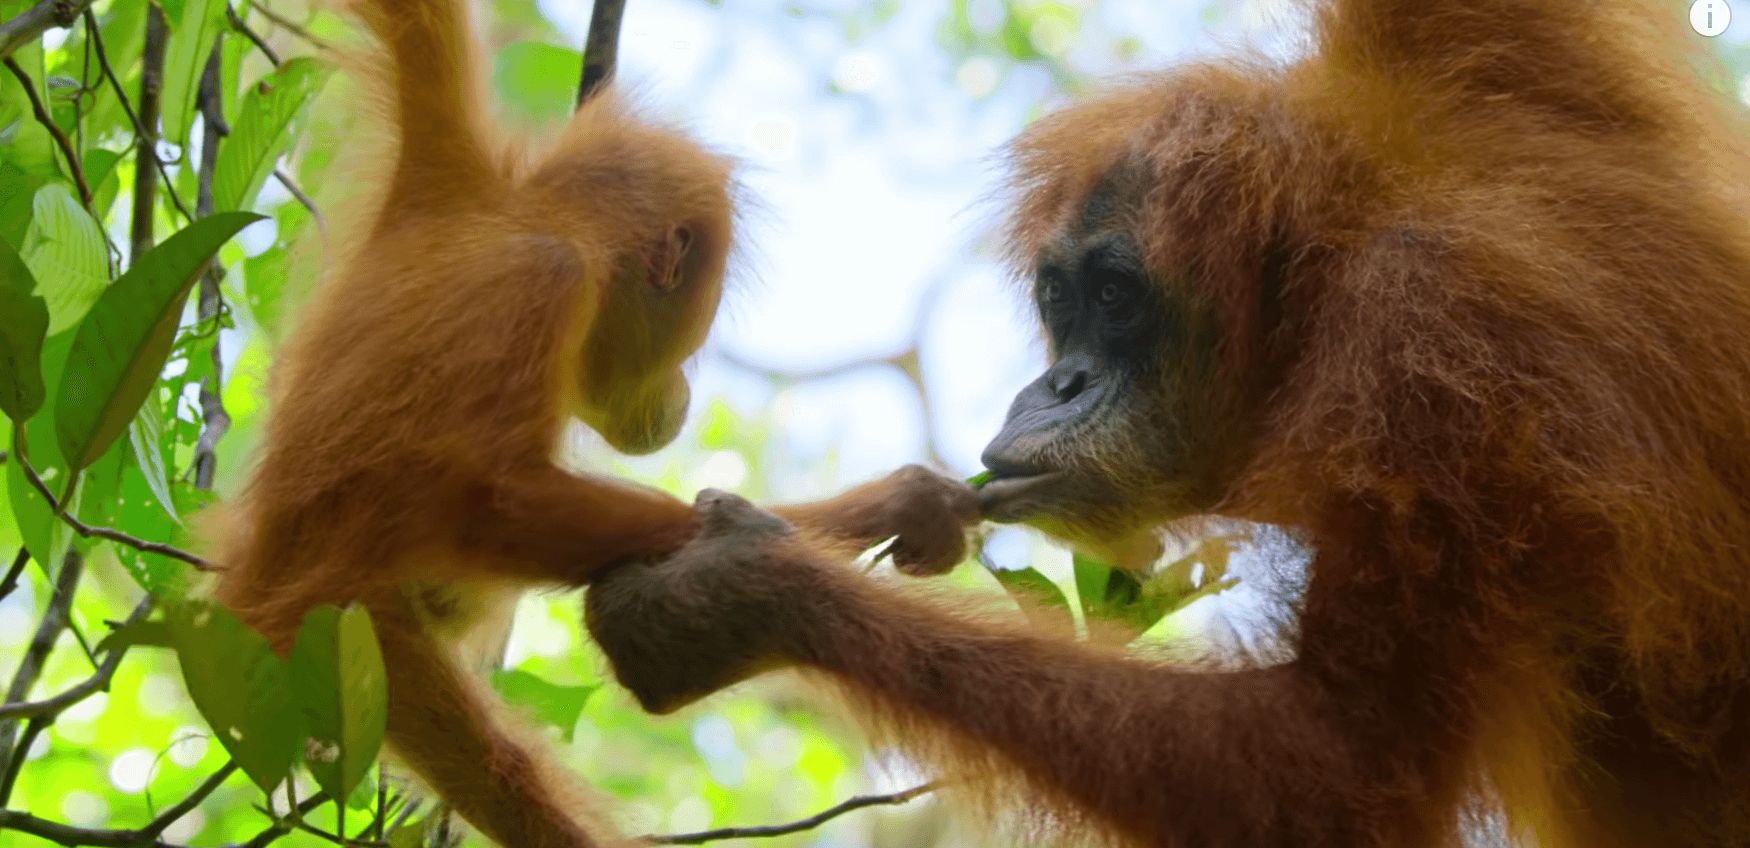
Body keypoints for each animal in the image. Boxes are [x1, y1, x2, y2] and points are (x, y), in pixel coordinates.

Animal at [208, 1, 977, 846]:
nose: (680, 390)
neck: (527, 213)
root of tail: (255, 579)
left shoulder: (442, 159)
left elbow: (417, 23)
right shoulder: (546, 282)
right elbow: (493, 502)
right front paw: (771, 555)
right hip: (348, 635)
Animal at [581, 0, 1750, 845]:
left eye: (1114, 296)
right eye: (1059, 297)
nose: (1054, 386)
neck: (1349, 241)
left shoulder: (1443, 366)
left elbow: (1339, 770)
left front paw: (746, 591)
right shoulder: (1503, 75)